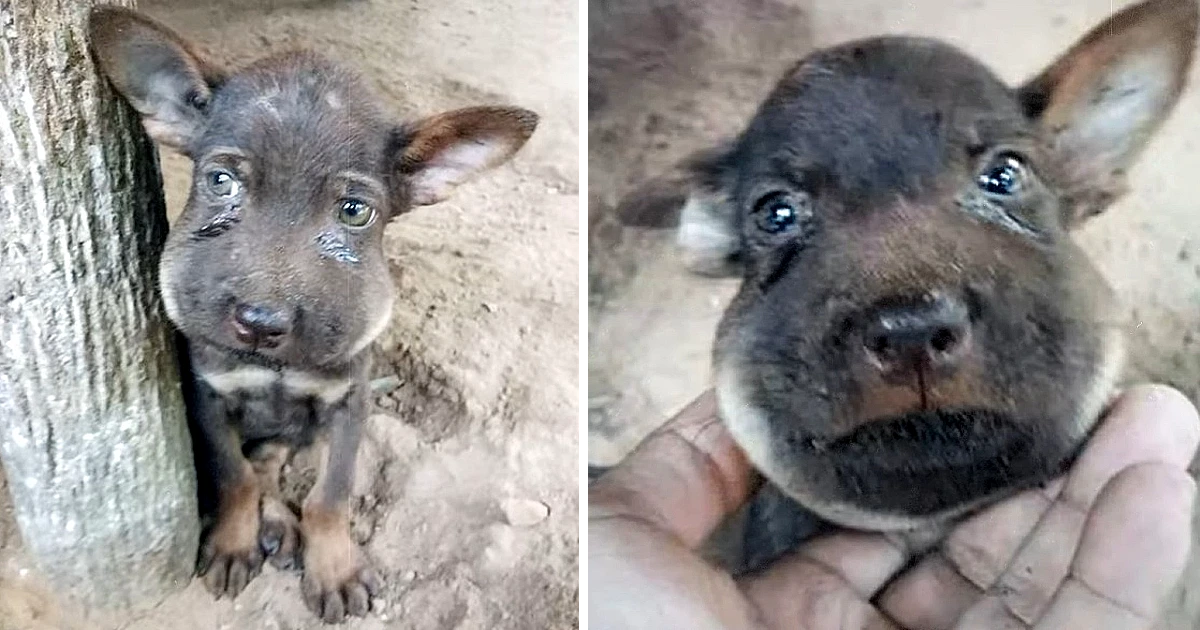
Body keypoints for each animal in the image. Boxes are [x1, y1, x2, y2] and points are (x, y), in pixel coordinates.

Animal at [91, 6, 542, 624]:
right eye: (219, 181)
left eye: (354, 211)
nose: (260, 323)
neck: (275, 367)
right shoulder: (208, 395)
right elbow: (234, 478)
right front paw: (234, 541)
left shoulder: (347, 403)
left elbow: (330, 495)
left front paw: (333, 568)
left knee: (274, 456)